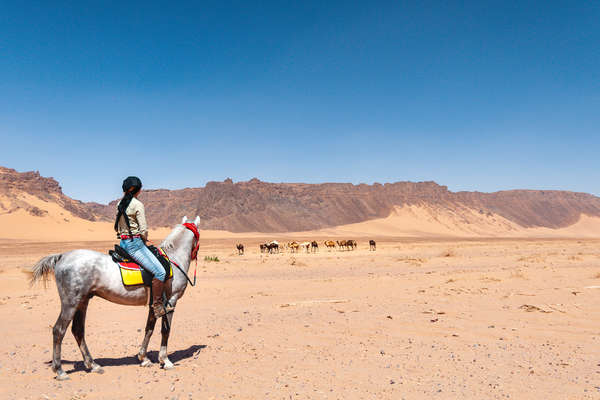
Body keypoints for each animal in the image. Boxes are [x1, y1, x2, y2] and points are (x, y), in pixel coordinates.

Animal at [31, 217, 199, 380]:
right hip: (70, 303)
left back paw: (93, 365)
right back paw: (60, 370)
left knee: (78, 331)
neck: (173, 259)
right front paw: (165, 360)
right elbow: (166, 330)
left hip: (82, 301)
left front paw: (143, 358)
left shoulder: (155, 304)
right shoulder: (171, 301)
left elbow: (149, 329)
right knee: (59, 330)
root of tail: (62, 257)